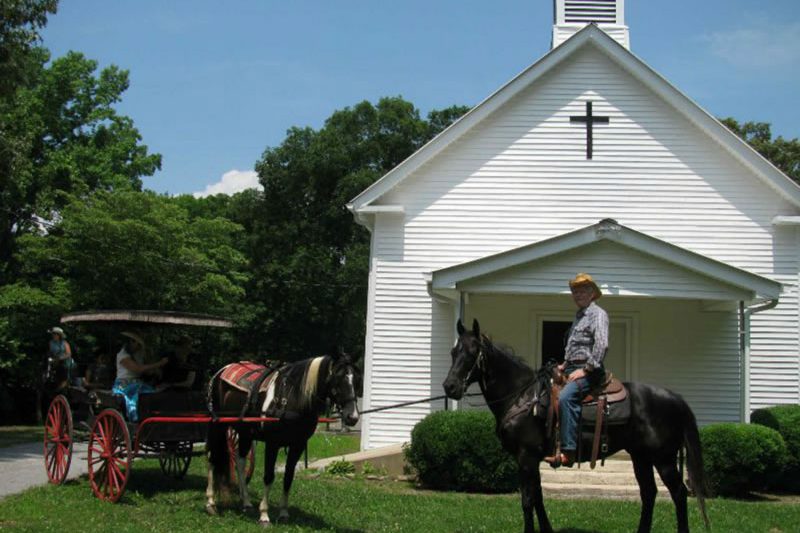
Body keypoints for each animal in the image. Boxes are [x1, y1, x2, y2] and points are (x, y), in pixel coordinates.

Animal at [206, 352, 360, 524]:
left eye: (356, 380)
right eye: (338, 378)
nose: (352, 417)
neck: (292, 397)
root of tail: (220, 373)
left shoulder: (297, 445)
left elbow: (288, 477)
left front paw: (284, 513)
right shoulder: (272, 444)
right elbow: (269, 476)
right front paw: (264, 515)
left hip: (245, 433)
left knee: (239, 462)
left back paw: (246, 502)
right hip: (217, 426)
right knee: (212, 458)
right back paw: (210, 503)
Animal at [440, 320, 708, 532]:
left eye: (473, 352)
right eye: (454, 351)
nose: (449, 387)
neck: (522, 396)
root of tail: (675, 398)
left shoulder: (526, 457)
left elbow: (527, 501)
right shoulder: (533, 459)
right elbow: (538, 497)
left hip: (663, 459)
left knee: (679, 493)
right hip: (641, 456)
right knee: (649, 493)